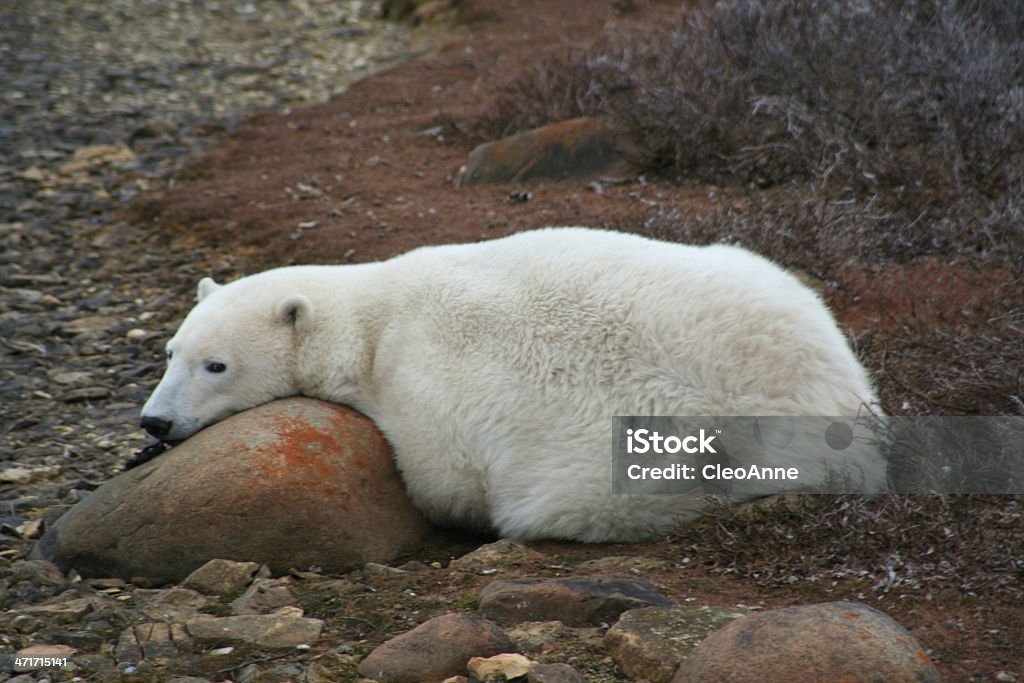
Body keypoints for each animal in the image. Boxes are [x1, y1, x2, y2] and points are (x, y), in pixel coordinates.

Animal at [140, 227, 884, 540]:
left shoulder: (427, 383)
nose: (154, 421)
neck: (375, 317)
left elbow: (445, 481)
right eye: (170, 351)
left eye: (216, 365)